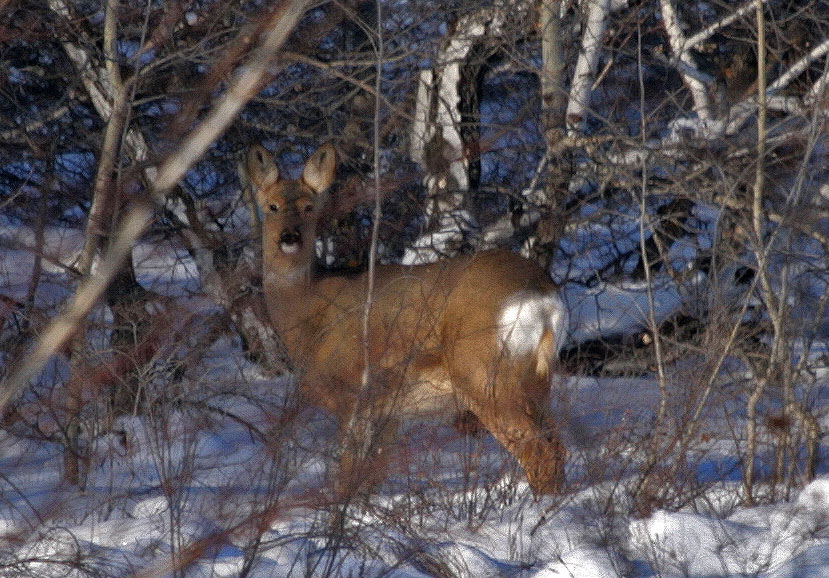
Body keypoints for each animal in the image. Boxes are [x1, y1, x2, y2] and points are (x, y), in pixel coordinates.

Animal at [246, 142, 568, 492]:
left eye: (309, 207)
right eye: (272, 206)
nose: (289, 237)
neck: (308, 311)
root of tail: (543, 297)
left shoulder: (353, 390)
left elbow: (347, 474)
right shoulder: (388, 410)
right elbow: (373, 475)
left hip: (485, 372)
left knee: (538, 449)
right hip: (536, 379)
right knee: (557, 444)